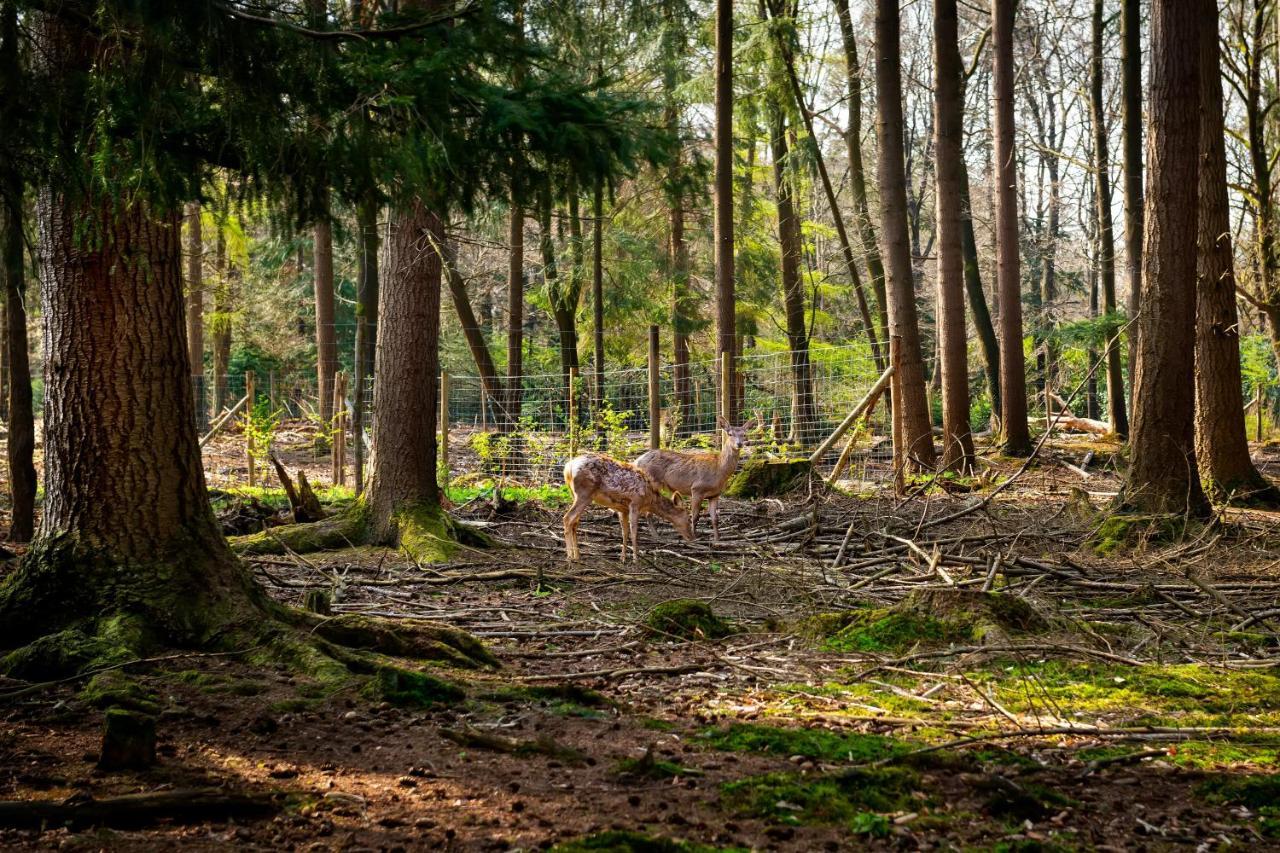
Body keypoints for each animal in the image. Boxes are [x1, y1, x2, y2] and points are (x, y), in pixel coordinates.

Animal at [563, 448, 696, 560]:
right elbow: (634, 532)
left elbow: (625, 532)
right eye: (687, 518)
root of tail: (567, 468)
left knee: (575, 522)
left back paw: (577, 555)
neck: (650, 499)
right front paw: (635, 559)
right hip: (584, 493)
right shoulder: (635, 503)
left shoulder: (623, 509)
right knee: (567, 518)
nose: (692, 537)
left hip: (574, 494)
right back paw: (569, 556)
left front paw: (623, 558)